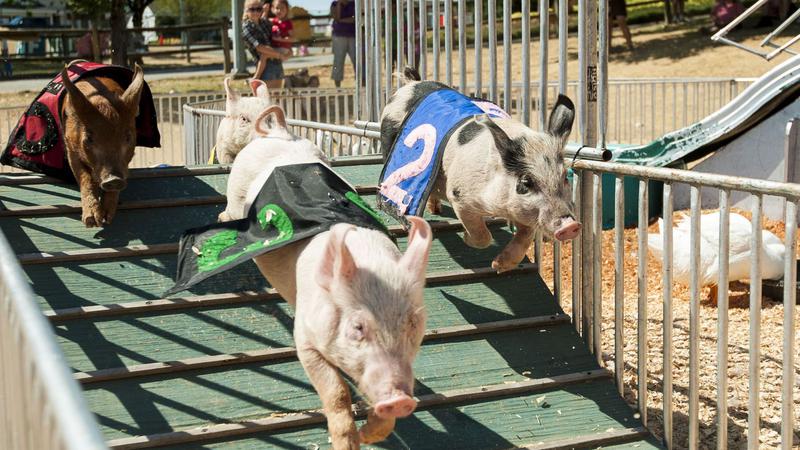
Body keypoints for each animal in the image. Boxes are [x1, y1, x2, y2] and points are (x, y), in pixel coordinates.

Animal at [60, 64, 145, 227]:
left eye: (128, 137)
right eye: (89, 138)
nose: (113, 179)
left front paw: (107, 218)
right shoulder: (70, 148)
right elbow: (84, 178)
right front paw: (92, 222)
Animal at [223, 105, 433, 449]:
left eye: (413, 324)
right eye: (358, 327)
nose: (400, 399)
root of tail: (276, 133)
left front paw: (370, 435)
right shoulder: (305, 337)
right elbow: (335, 393)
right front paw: (347, 443)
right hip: (236, 189)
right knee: (228, 213)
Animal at [380, 68, 581, 273]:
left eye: (565, 177)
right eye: (526, 182)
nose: (571, 225)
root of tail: (412, 83)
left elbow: (525, 236)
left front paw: (499, 267)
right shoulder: (459, 196)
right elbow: (480, 234)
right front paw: (468, 239)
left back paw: (435, 210)